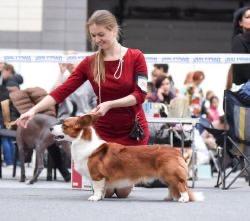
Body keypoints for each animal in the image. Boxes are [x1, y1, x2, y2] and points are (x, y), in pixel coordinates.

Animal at [50, 114, 203, 202]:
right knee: (173, 186)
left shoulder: (97, 176)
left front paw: (95, 198)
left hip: (171, 174)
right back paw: (169, 198)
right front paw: (101, 197)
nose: (50, 128)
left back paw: (183, 199)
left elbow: (97, 188)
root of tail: (176, 151)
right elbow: (103, 189)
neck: (83, 142)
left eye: (64, 125)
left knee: (181, 186)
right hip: (166, 176)